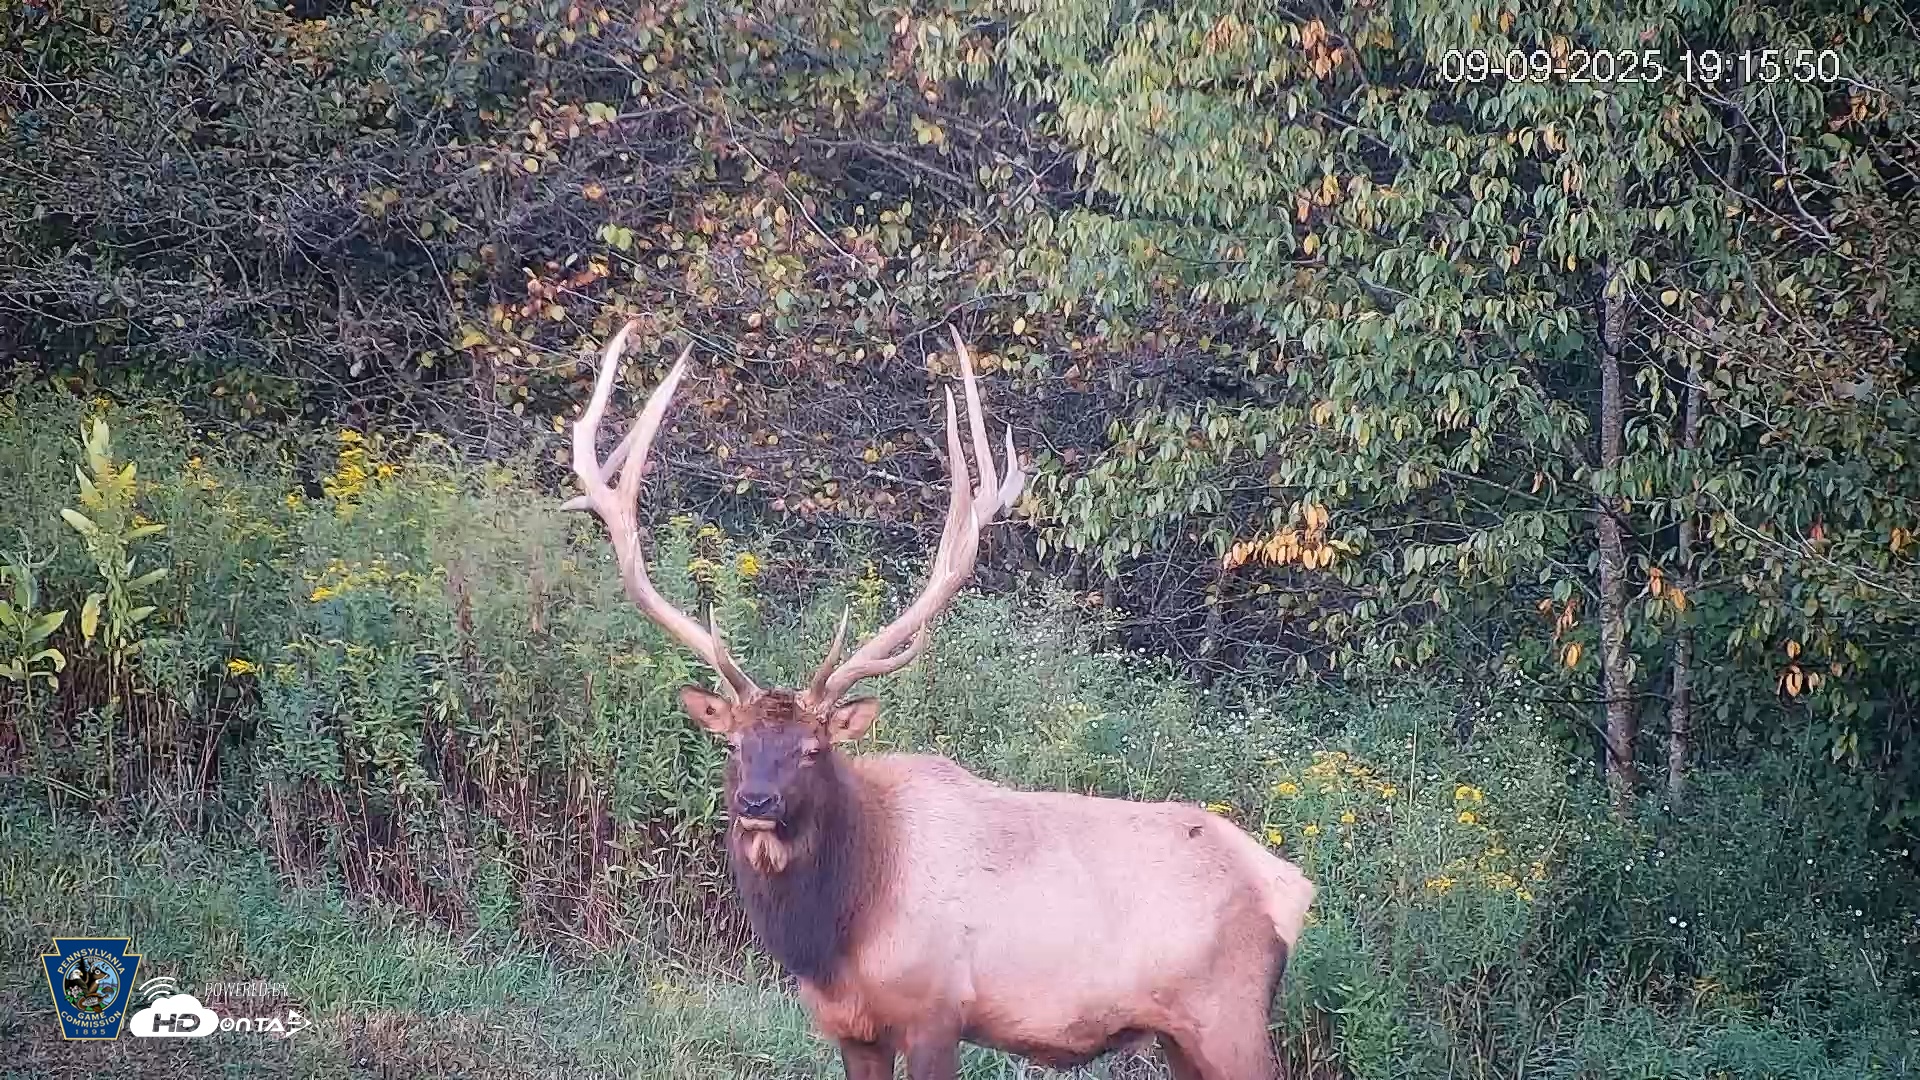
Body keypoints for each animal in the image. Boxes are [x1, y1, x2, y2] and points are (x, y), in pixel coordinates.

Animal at [565, 319, 1316, 1080]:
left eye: (813, 747)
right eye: (734, 743)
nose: (756, 801)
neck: (837, 932)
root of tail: (1290, 887)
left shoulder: (937, 1009)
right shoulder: (851, 1028)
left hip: (1228, 1017)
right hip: (1179, 1036)